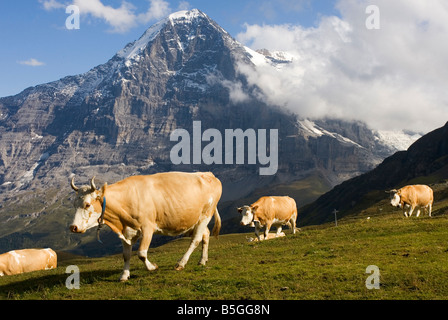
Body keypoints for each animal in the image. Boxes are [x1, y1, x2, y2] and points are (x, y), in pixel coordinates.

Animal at [69, 171, 221, 282]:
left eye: (87, 204)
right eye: (74, 204)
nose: (73, 227)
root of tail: (209, 174)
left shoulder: (148, 227)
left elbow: (141, 253)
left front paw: (152, 267)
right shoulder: (127, 232)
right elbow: (126, 255)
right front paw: (124, 275)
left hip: (206, 214)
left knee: (195, 240)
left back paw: (181, 264)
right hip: (196, 220)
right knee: (205, 235)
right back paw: (202, 260)